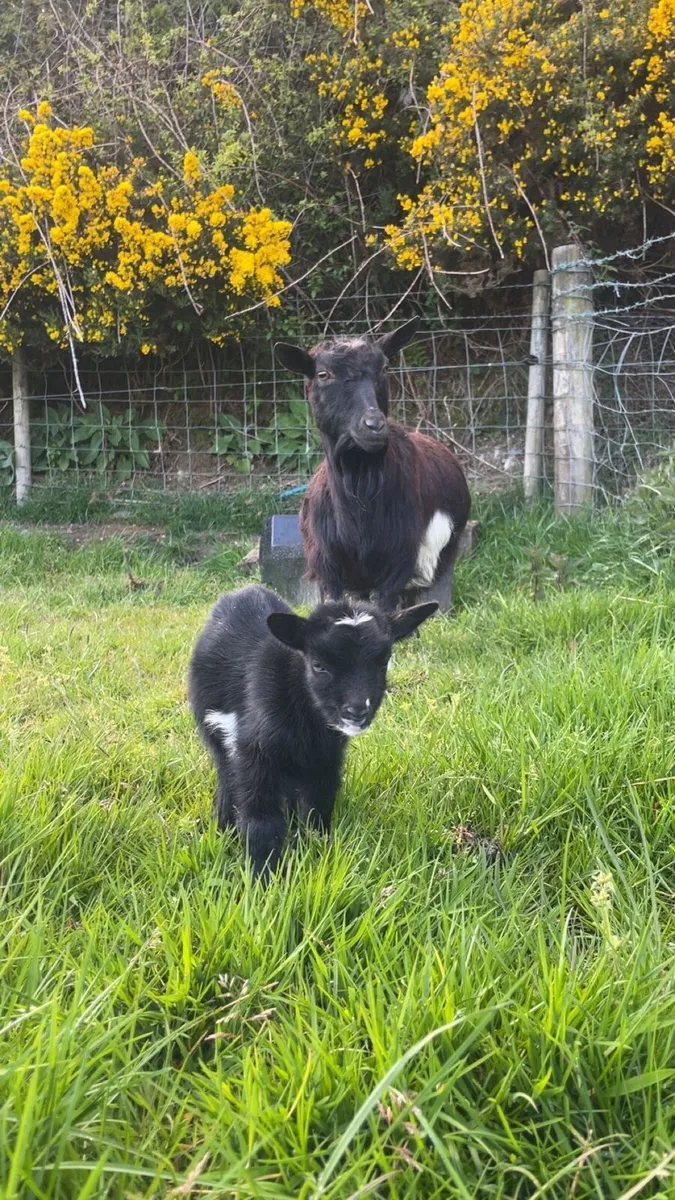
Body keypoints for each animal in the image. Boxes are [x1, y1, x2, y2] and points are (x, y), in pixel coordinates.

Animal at [188, 584, 437, 879]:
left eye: (384, 662)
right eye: (318, 665)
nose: (357, 712)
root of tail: (242, 592)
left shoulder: (327, 758)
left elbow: (318, 808)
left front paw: (317, 854)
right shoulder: (254, 754)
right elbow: (262, 820)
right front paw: (263, 877)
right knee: (226, 774)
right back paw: (224, 828)